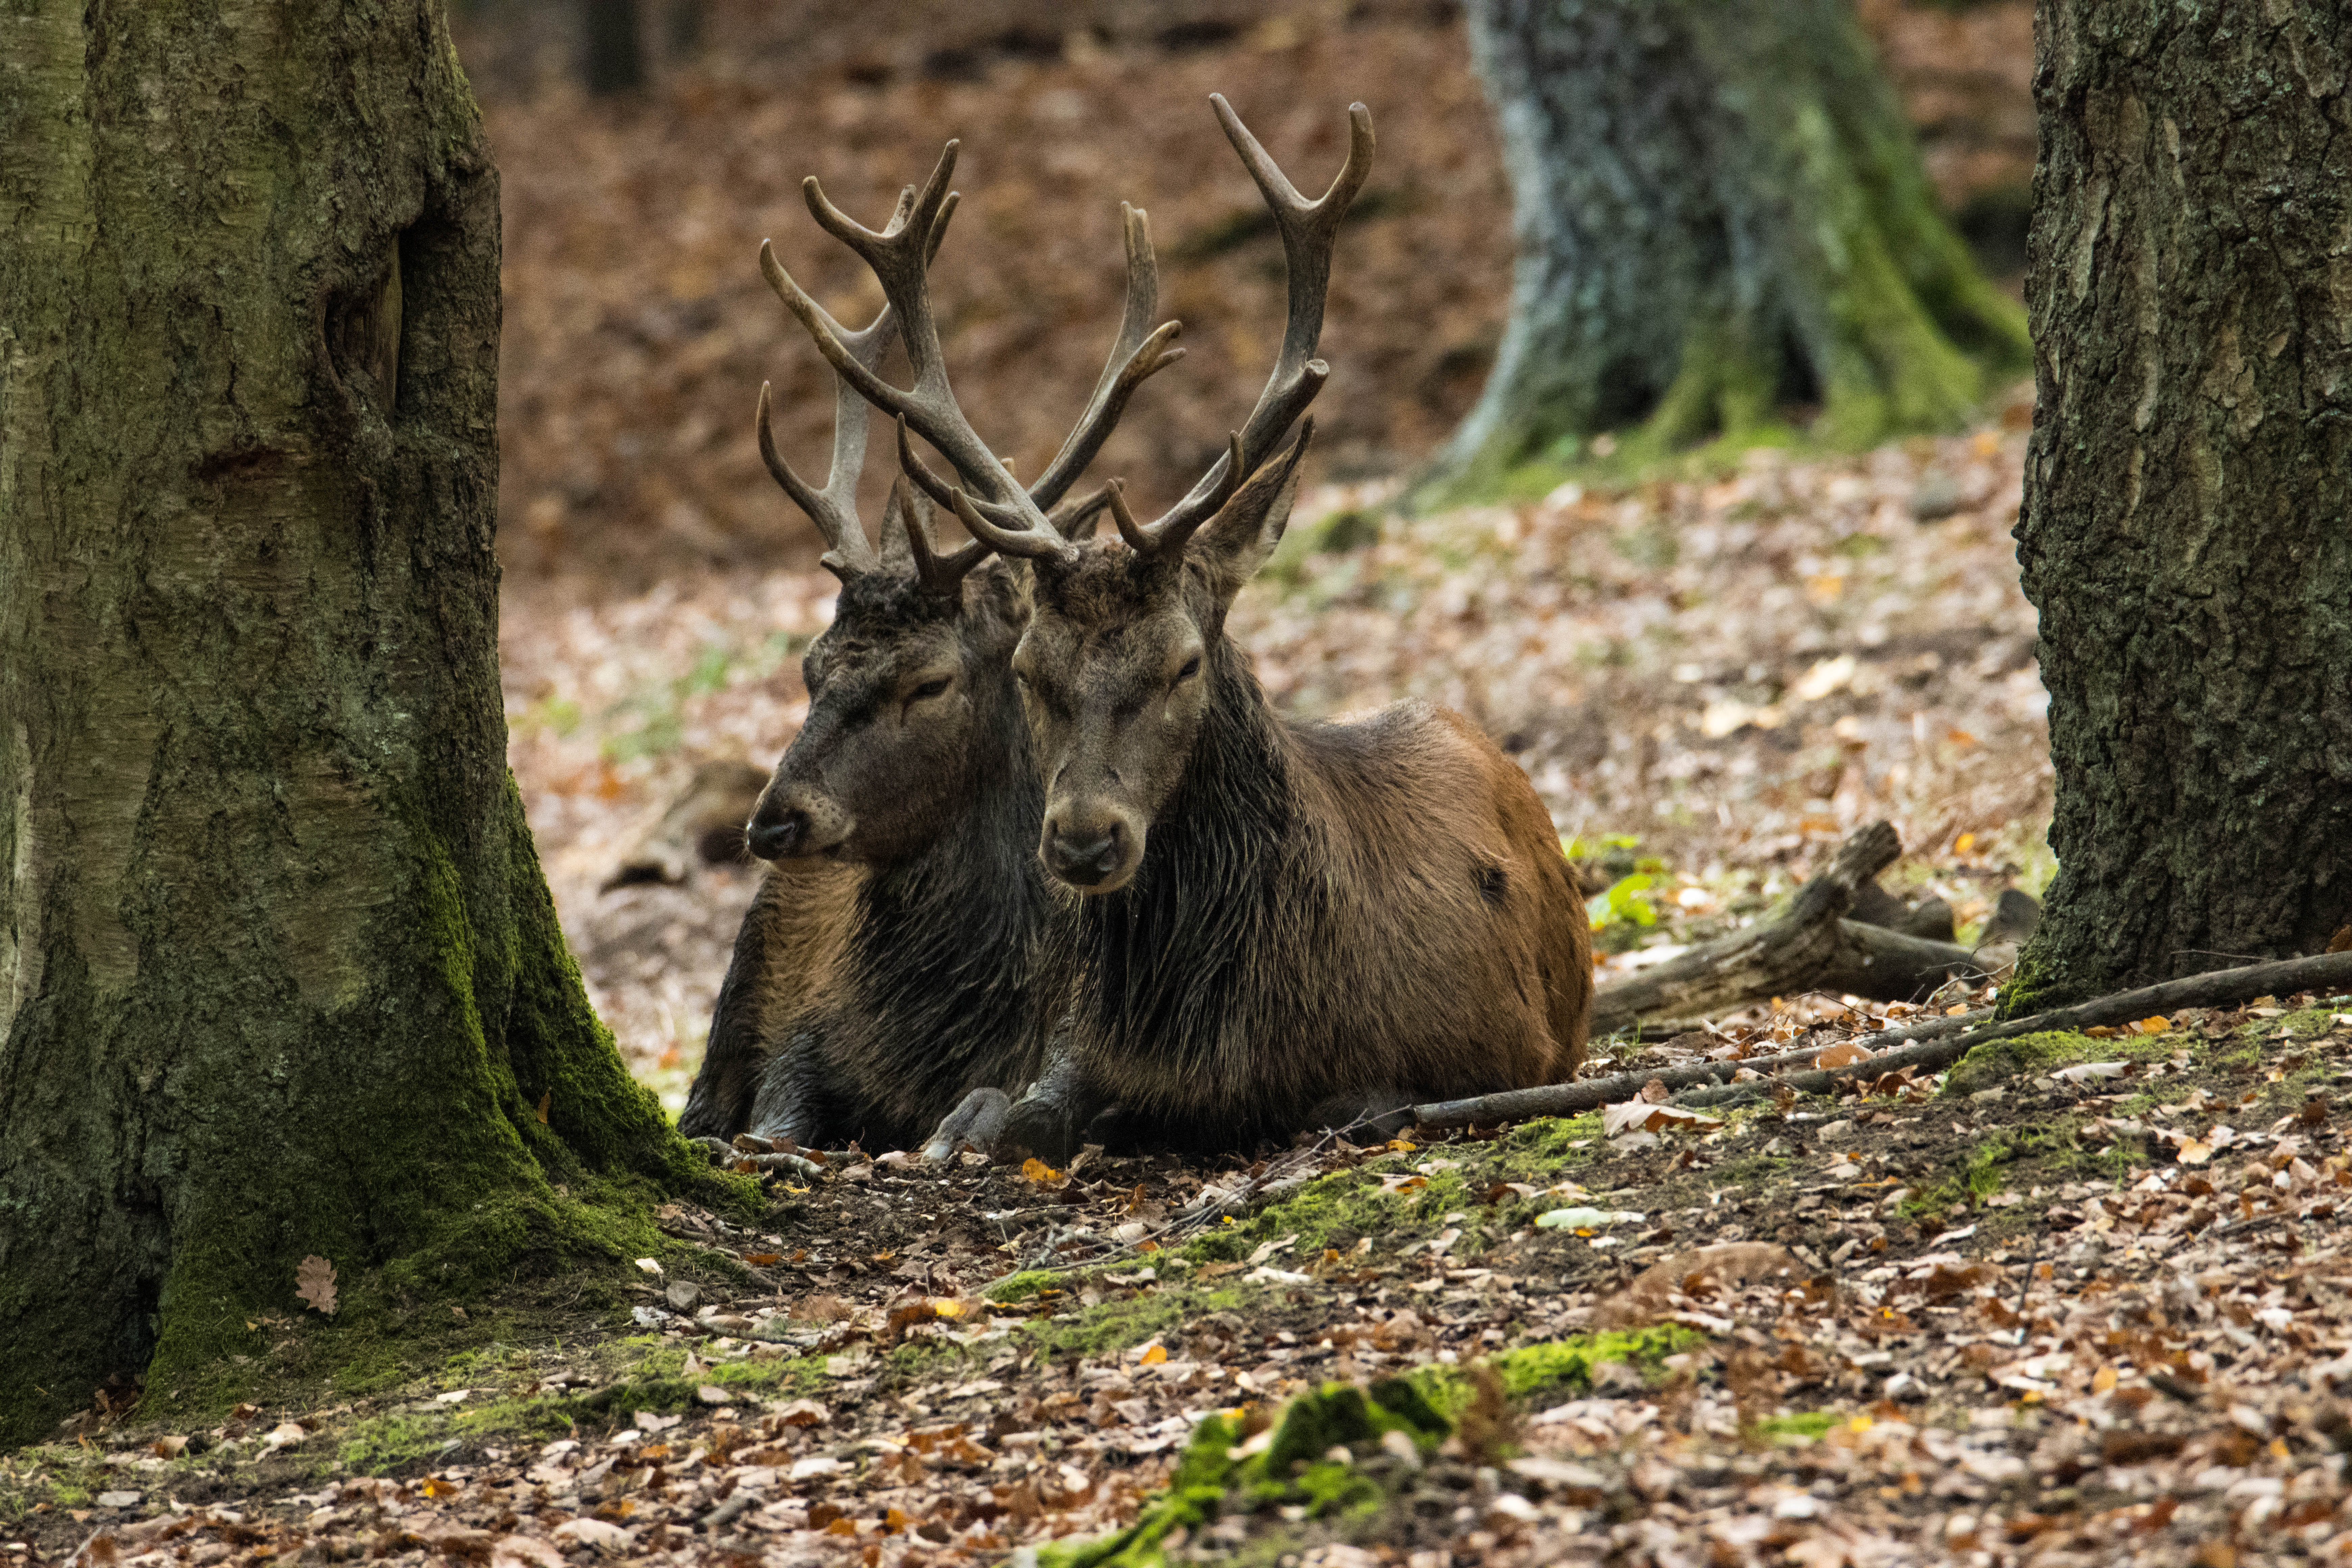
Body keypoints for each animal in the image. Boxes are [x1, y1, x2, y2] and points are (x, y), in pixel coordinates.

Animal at [922, 95, 1599, 1152]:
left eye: (1184, 663)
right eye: (1030, 669)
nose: (1083, 839)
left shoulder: (1487, 1051)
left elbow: (1356, 1105)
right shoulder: (1075, 1047)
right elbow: (1005, 1112)